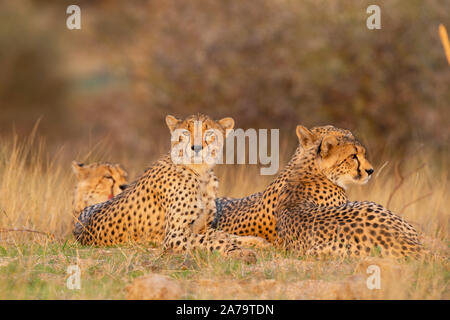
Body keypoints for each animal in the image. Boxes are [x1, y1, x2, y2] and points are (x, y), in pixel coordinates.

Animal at [72, 114, 266, 262]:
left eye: (209, 132)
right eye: (185, 132)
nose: (196, 148)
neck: (201, 172)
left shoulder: (201, 228)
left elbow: (223, 234)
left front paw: (256, 241)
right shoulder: (175, 236)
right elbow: (215, 240)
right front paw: (240, 252)